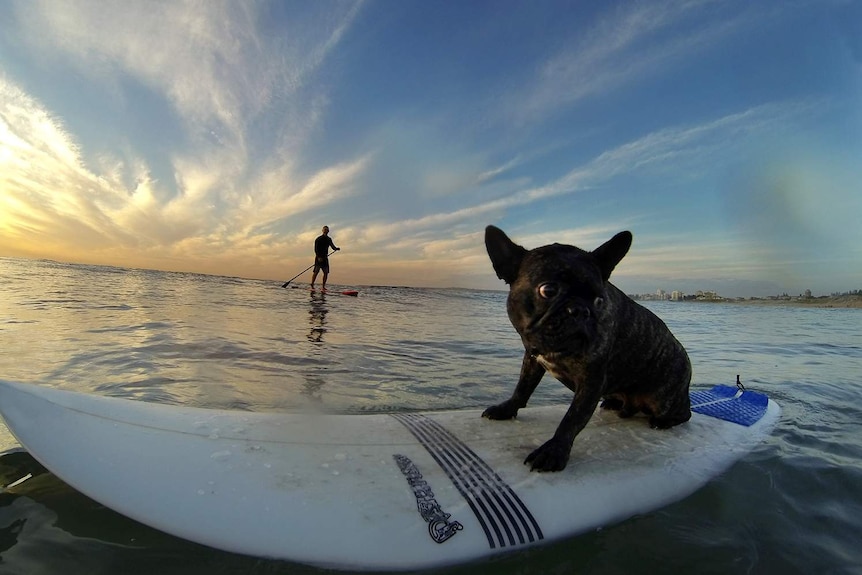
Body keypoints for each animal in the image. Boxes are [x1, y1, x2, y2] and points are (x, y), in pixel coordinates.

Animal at [486, 225, 696, 472]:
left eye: (599, 300)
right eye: (548, 290)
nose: (580, 311)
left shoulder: (592, 381)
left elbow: (572, 418)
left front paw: (553, 451)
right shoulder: (533, 358)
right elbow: (522, 388)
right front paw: (507, 409)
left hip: (663, 399)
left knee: (684, 413)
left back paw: (663, 421)